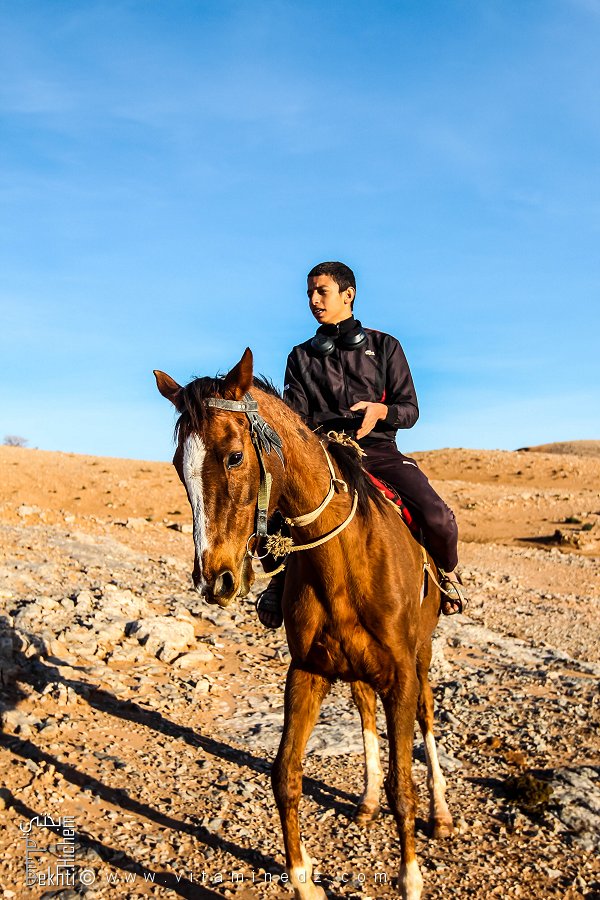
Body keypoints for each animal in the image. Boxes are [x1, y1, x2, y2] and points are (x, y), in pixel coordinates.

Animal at [154, 348, 453, 900]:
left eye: (234, 456)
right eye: (178, 467)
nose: (215, 579)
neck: (343, 560)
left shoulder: (400, 673)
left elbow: (404, 786)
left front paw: (411, 878)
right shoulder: (307, 671)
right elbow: (285, 774)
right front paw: (303, 880)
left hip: (421, 654)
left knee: (426, 716)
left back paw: (441, 813)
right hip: (356, 668)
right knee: (364, 711)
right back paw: (366, 800)